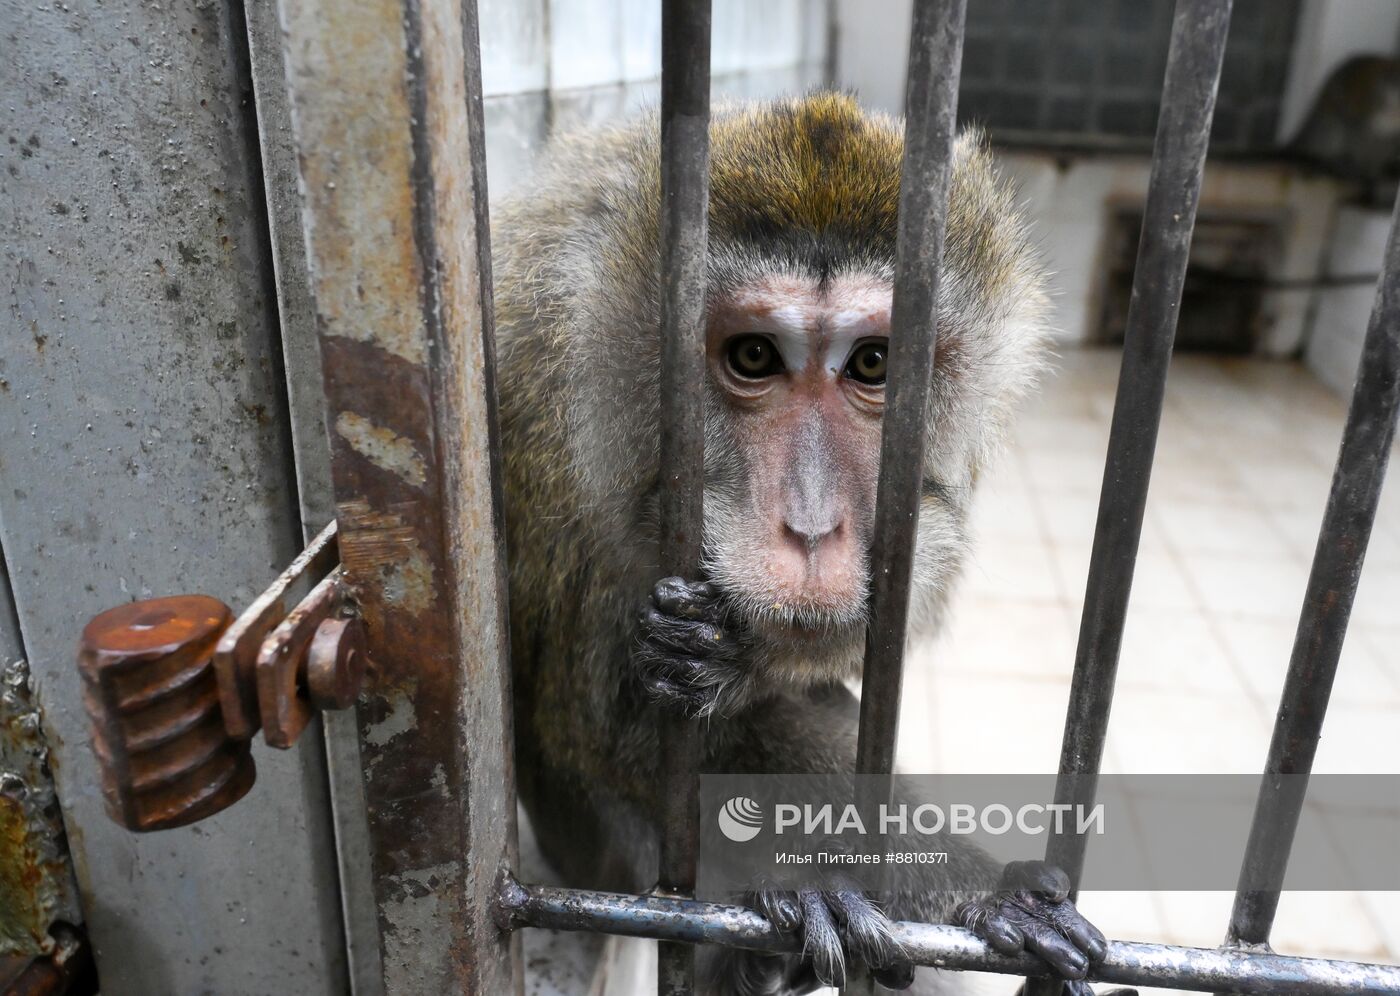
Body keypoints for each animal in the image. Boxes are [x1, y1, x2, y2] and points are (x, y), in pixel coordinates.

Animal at [492, 89, 1125, 991]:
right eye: (755, 355)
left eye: (874, 364)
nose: (814, 526)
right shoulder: (545, 429)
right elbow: (603, 720)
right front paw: (982, 892)